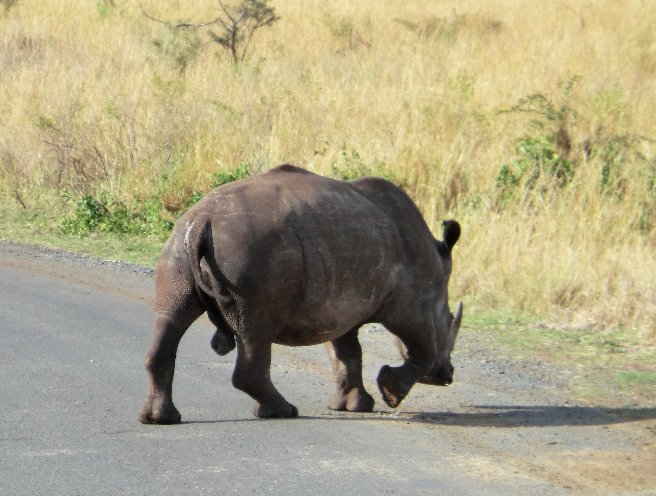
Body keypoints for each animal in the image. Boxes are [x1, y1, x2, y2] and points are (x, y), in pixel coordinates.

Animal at [138, 164, 462, 422]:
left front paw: (353, 406)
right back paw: (282, 411)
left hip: (179, 247)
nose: (447, 376)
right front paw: (390, 392)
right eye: (449, 320)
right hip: (252, 252)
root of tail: (203, 221)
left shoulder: (339, 306)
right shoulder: (412, 301)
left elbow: (346, 352)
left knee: (173, 315)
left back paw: (160, 419)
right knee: (256, 329)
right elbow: (421, 347)